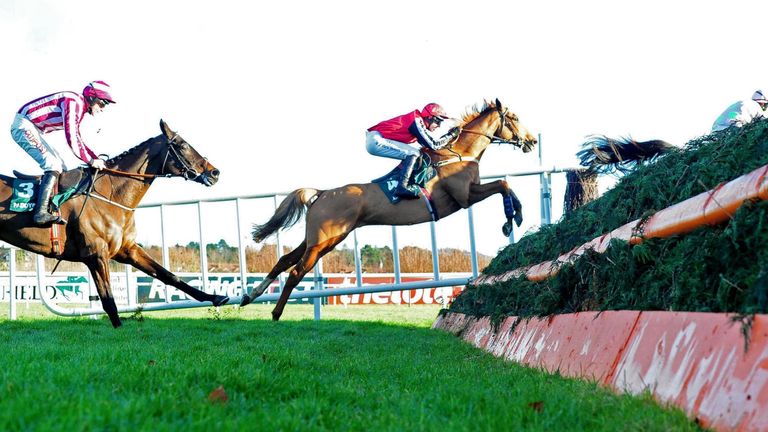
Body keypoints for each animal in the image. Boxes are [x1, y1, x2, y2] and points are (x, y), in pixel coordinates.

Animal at [0, 119, 228, 328]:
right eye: (182, 145)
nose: (215, 172)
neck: (110, 194)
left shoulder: (127, 250)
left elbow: (169, 276)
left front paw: (216, 297)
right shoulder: (96, 255)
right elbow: (109, 302)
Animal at [243, 98, 536, 320]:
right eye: (514, 117)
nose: (532, 141)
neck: (458, 153)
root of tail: (323, 193)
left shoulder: (469, 193)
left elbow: (505, 185)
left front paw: (515, 215)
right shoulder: (464, 197)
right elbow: (503, 185)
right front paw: (512, 217)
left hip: (317, 239)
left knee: (284, 260)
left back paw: (250, 295)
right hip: (325, 240)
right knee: (296, 272)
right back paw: (275, 313)